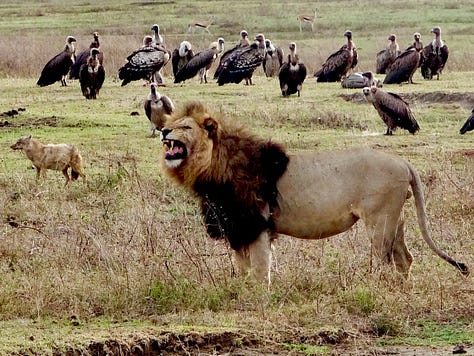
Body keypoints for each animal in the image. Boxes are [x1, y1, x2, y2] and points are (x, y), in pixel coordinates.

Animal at [159, 101, 466, 286]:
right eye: (172, 124)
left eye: (184, 127)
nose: (162, 131)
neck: (211, 167)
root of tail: (403, 162)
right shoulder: (237, 227)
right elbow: (244, 268)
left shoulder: (256, 223)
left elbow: (259, 269)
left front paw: (258, 298)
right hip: (395, 218)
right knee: (404, 258)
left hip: (379, 219)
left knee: (384, 259)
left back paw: (378, 288)